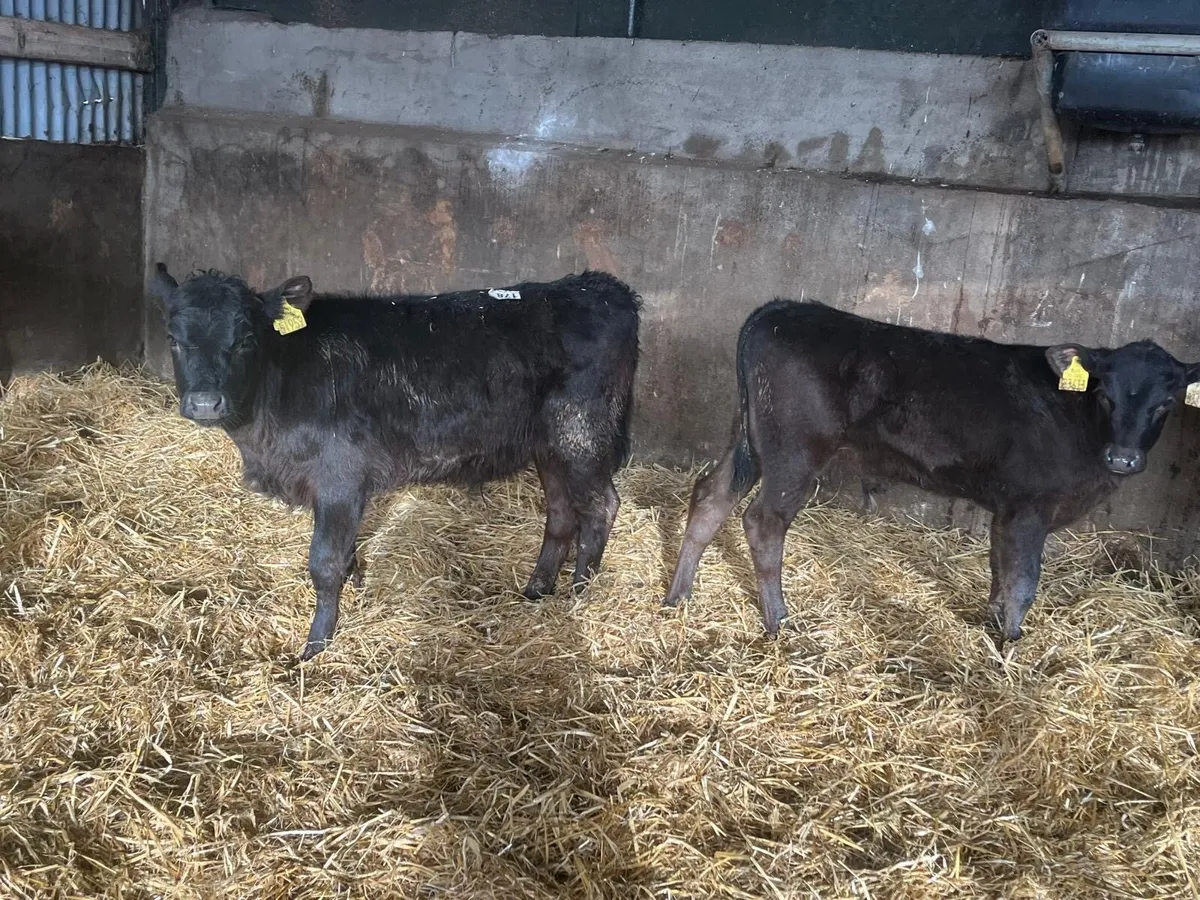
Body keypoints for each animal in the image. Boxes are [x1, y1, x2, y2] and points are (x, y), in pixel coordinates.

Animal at [151, 264, 640, 659]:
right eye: (173, 340)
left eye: (246, 339)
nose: (205, 403)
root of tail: (596, 285)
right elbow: (346, 554)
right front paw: (356, 590)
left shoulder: (339, 479)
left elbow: (324, 563)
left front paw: (317, 644)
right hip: (550, 446)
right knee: (560, 513)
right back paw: (537, 589)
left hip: (582, 434)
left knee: (601, 506)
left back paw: (579, 594)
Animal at [663, 300, 1199, 645]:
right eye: (1105, 393)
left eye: (1167, 401)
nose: (1123, 459)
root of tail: (778, 309)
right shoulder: (1031, 504)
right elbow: (1022, 581)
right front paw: (1011, 648)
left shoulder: (1007, 507)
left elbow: (999, 571)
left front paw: (992, 627)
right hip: (795, 450)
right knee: (764, 521)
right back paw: (779, 622)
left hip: (748, 438)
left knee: (710, 497)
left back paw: (677, 597)